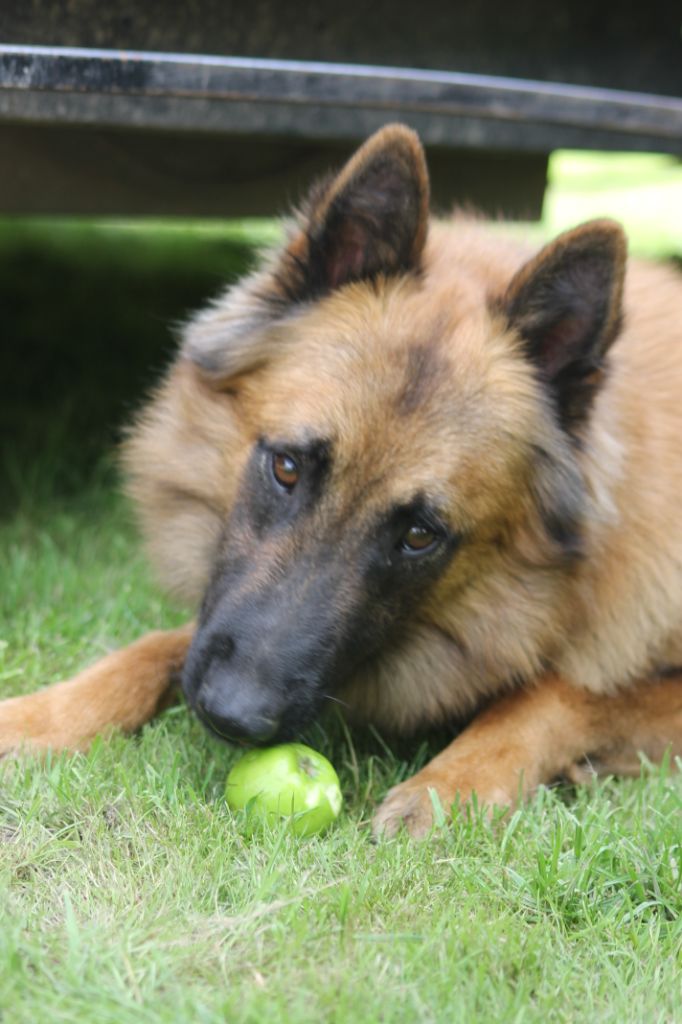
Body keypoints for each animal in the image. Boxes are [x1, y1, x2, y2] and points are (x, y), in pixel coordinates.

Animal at [1, 123, 679, 835]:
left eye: (419, 535)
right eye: (287, 467)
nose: (231, 715)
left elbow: (560, 692)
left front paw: (451, 786)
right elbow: (157, 645)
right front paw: (42, 715)